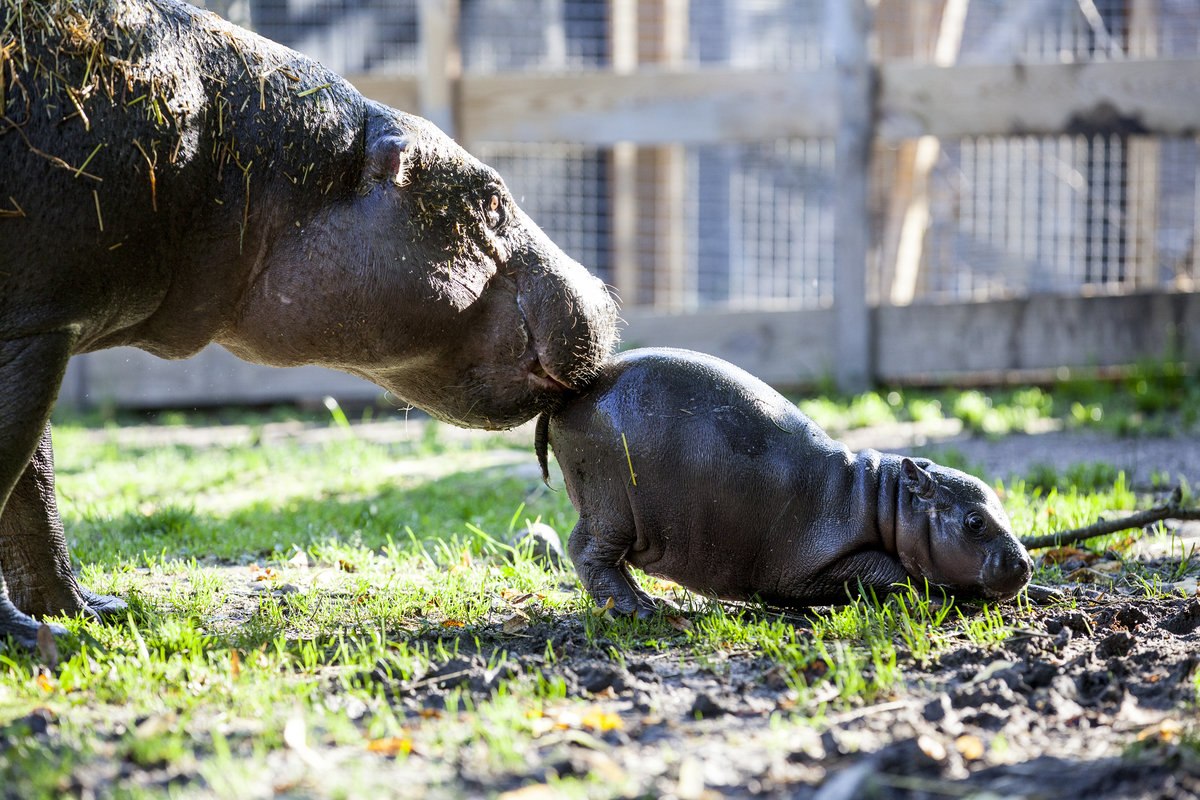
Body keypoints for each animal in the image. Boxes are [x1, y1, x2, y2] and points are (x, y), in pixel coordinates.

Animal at [0, 0, 619, 642]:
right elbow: (18, 475)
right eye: (492, 199)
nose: (603, 292)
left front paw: (88, 615)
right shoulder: (35, 330)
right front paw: (31, 636)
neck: (248, 166)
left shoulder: (40, 328)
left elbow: (34, 487)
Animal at [535, 347, 1032, 618]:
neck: (883, 499)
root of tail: (576, 390)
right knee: (589, 551)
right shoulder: (820, 561)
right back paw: (639, 609)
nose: (1026, 564)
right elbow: (888, 570)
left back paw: (653, 604)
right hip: (610, 505)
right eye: (974, 522)